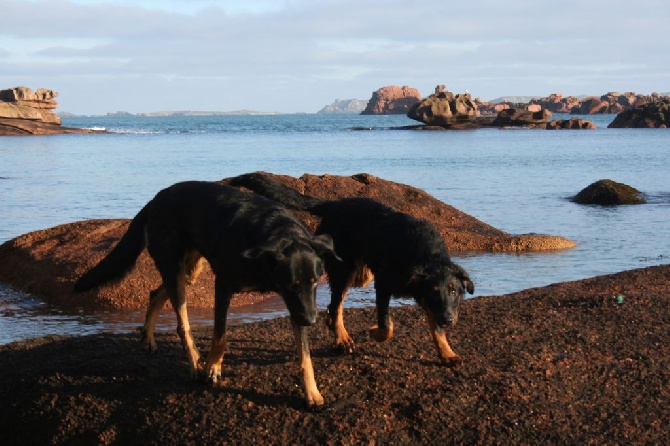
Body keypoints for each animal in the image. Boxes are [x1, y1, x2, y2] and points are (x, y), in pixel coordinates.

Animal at [74, 181, 338, 408]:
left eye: (316, 282)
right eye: (291, 284)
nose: (311, 320)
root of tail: (156, 199)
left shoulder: (299, 305)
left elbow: (305, 355)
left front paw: (312, 393)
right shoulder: (224, 286)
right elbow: (220, 336)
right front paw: (213, 367)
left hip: (188, 271)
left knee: (155, 294)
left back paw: (148, 337)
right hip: (174, 269)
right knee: (182, 324)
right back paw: (195, 366)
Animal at [234, 173, 476, 366]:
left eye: (454, 291)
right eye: (434, 291)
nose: (449, 320)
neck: (426, 257)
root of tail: (333, 204)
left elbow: (436, 329)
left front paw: (446, 353)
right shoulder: (384, 284)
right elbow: (386, 325)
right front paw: (374, 333)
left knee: (333, 308)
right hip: (344, 270)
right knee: (335, 308)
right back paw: (342, 339)